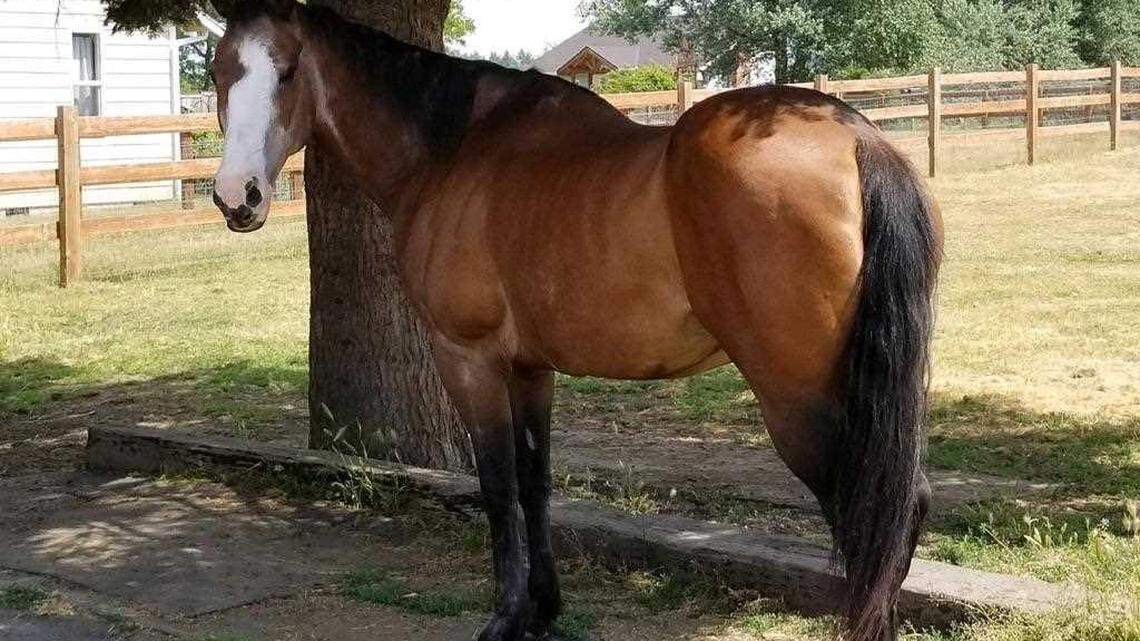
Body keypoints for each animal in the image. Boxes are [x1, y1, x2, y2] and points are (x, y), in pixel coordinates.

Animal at [209, 1, 942, 639]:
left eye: (287, 71)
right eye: (218, 71)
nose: (237, 196)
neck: (455, 147)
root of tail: (854, 135)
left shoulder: (468, 358)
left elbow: (497, 484)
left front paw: (505, 617)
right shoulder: (531, 367)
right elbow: (535, 483)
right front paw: (543, 609)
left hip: (798, 401)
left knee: (877, 510)